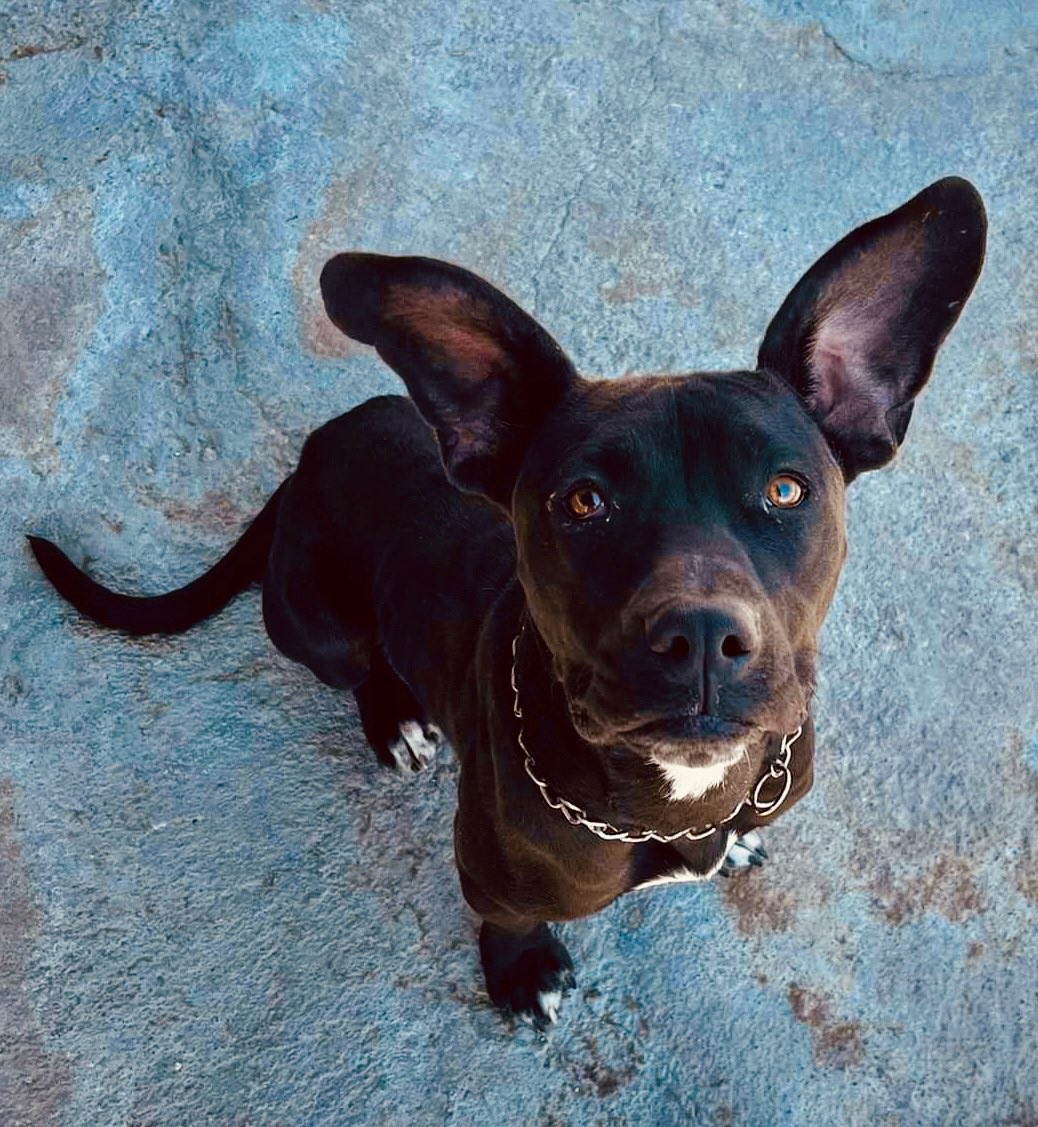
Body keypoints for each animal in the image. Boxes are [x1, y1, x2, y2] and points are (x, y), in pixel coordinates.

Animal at [32, 178, 982, 1032]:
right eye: (584, 502)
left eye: (786, 489)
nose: (703, 633)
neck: (672, 796)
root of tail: (306, 460)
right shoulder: (489, 871)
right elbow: (505, 913)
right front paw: (520, 969)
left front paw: (737, 837)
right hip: (313, 621)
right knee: (357, 666)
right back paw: (394, 719)